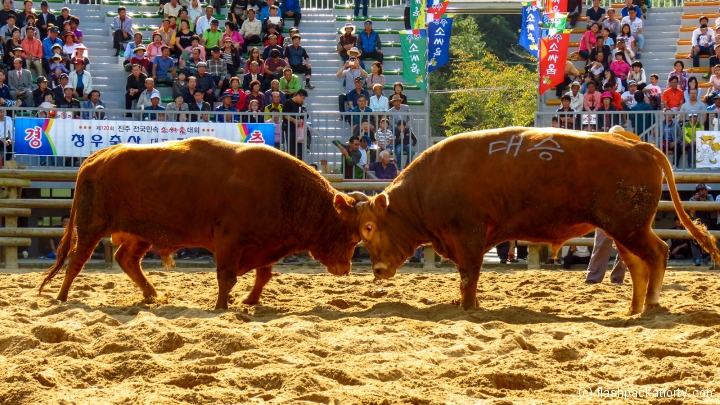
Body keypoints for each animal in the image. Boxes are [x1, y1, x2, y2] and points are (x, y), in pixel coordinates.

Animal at [39, 137, 363, 309]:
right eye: (353, 237)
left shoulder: (265, 244)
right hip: (91, 227)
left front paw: (249, 301)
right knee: (76, 259)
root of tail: (97, 157)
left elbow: (263, 275)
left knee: (126, 259)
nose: (345, 268)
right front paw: (222, 306)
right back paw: (62, 297)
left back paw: (152, 294)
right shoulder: (230, 241)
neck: (285, 188)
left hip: (139, 233)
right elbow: (226, 277)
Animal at [335, 127, 720, 315]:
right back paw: (633, 310)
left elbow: (469, 275)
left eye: (369, 227)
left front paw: (468, 307)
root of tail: (637, 145)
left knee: (657, 254)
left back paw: (651, 305)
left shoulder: (469, 237)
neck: (430, 182)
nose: (378, 269)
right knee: (638, 265)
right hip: (621, 230)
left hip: (630, 228)